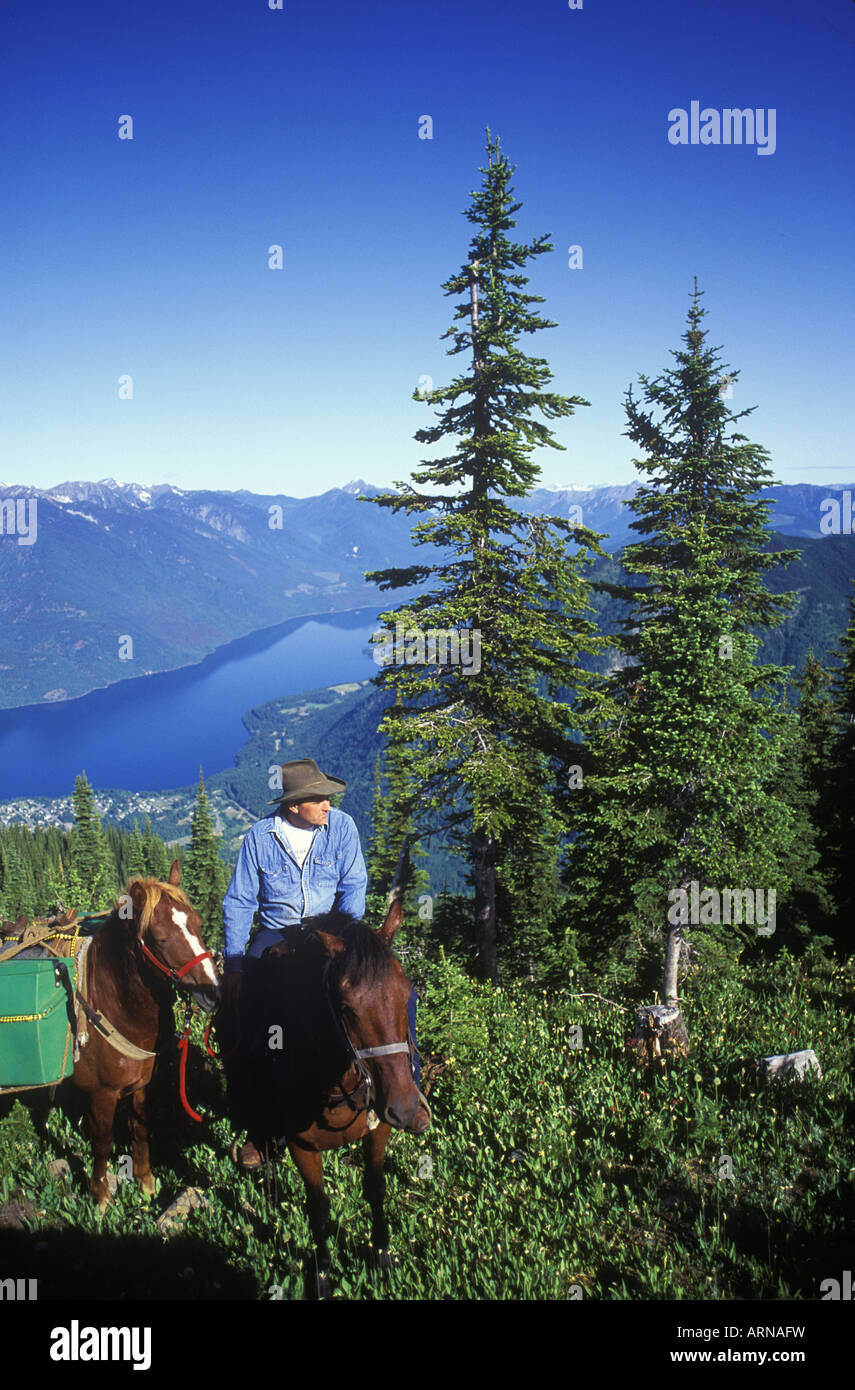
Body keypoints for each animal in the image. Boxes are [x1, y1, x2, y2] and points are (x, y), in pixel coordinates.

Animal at [69, 861, 221, 1212]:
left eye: (198, 923)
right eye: (161, 939)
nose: (213, 992)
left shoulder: (141, 1084)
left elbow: (139, 1127)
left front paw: (146, 1182)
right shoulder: (102, 1093)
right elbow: (102, 1142)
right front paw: (101, 1198)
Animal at [222, 889, 428, 1289]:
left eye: (407, 993)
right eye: (346, 1007)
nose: (404, 1109)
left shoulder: (378, 1131)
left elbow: (375, 1188)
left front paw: (382, 1258)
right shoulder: (301, 1146)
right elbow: (318, 1207)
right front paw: (321, 1278)